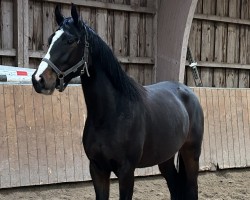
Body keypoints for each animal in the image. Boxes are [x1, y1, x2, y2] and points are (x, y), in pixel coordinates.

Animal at [31, 3, 203, 199]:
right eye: (50, 39)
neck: (111, 115)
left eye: (71, 40)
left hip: (191, 154)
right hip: (165, 157)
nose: (38, 79)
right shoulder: (97, 169)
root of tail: (187, 92)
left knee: (192, 188)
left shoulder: (126, 171)